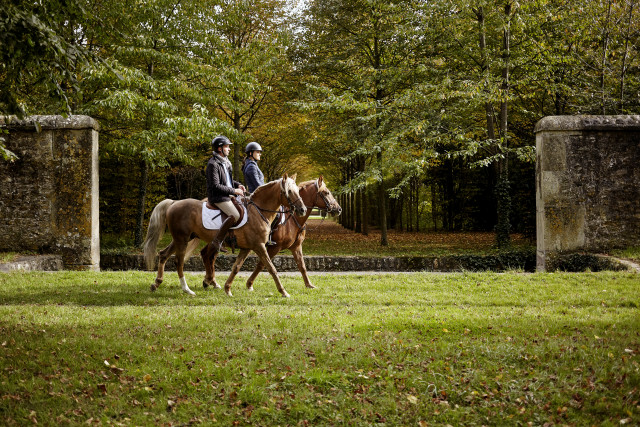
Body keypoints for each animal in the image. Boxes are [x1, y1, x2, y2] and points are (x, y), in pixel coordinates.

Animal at [142, 174, 306, 297]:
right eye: (289, 191)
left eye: (298, 191)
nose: (303, 210)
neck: (259, 211)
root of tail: (174, 203)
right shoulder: (259, 246)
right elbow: (271, 268)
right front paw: (283, 292)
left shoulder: (247, 248)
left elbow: (236, 267)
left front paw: (228, 289)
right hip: (182, 239)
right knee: (179, 261)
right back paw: (187, 289)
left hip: (182, 238)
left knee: (164, 254)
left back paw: (157, 283)